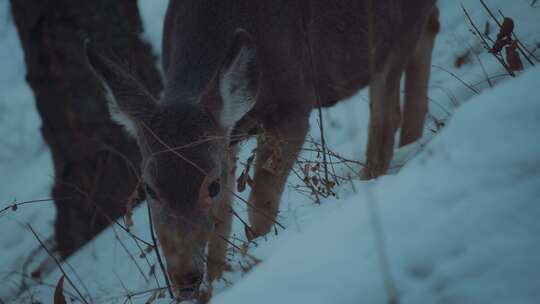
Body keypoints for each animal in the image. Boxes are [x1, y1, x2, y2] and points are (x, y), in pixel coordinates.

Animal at [84, 0, 438, 300]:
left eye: (211, 185)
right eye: (150, 190)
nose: (184, 279)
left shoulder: (294, 106)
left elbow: (260, 204)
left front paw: (255, 261)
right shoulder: (228, 139)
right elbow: (222, 224)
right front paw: (216, 283)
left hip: (391, 32)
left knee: (385, 117)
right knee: (430, 29)